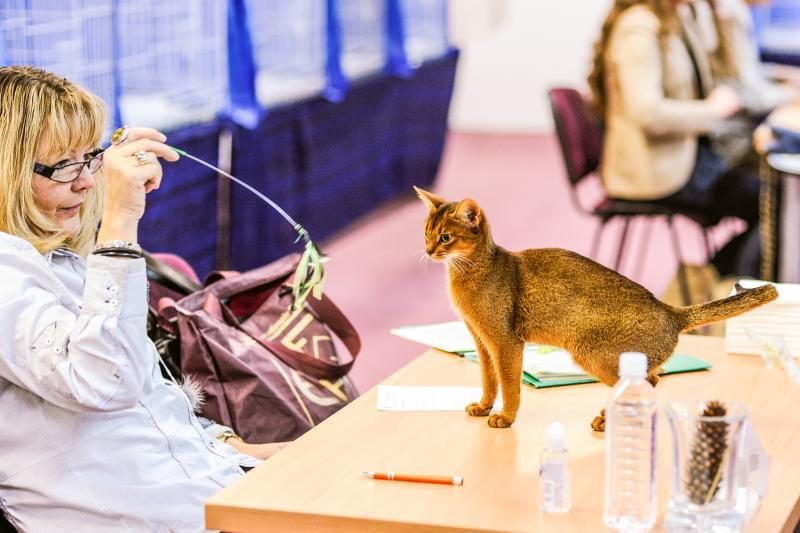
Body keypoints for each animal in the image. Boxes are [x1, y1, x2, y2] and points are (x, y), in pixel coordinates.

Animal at [416, 185, 780, 430]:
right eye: (426, 233)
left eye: (446, 238)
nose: (429, 251)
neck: (472, 271)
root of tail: (670, 311)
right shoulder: (481, 340)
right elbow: (489, 380)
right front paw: (483, 407)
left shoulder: (505, 342)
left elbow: (509, 385)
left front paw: (505, 417)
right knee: (652, 379)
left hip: (591, 353)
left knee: (648, 382)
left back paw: (610, 420)